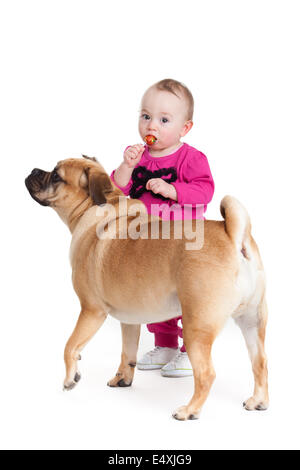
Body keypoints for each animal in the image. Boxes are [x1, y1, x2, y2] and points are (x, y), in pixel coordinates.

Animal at [25, 156, 268, 420]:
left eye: (56, 176)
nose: (34, 170)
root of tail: (234, 237)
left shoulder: (91, 310)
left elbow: (70, 346)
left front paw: (70, 378)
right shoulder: (129, 320)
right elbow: (127, 352)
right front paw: (122, 379)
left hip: (197, 326)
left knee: (206, 374)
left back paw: (189, 411)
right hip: (252, 323)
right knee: (260, 364)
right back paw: (258, 402)